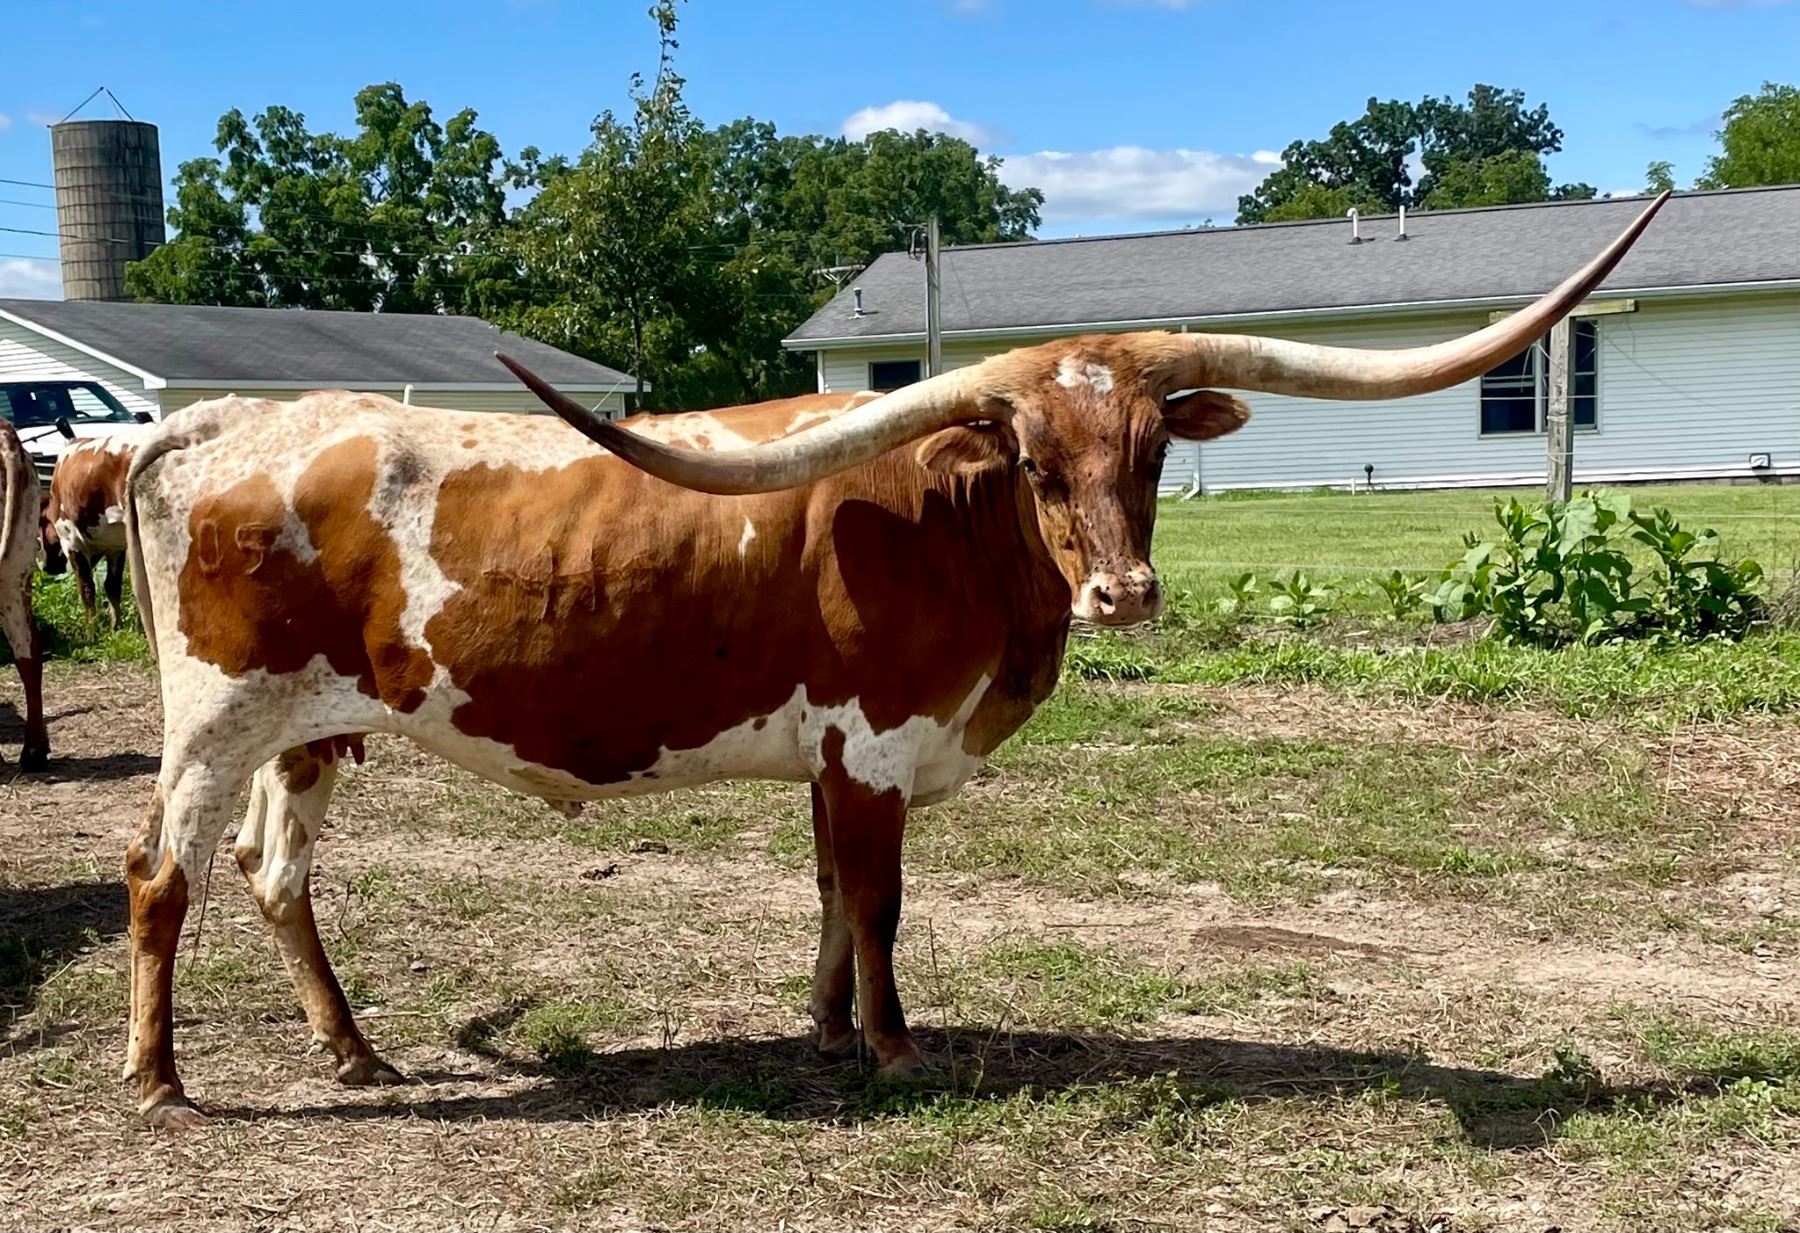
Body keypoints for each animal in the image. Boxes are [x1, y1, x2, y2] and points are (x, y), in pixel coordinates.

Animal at [43, 436, 135, 631]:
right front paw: (116, 627)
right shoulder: (115, 547)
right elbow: (112, 585)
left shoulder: (71, 543)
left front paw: (91, 631)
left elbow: (86, 589)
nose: (47, 567)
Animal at [119, 194, 1667, 1127]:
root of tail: (197, 424)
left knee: (273, 872)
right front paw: (898, 1046)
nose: (1125, 593)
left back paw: (353, 1050)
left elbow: (826, 893)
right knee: (160, 876)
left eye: (1151, 450)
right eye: (1034, 460)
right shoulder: (872, 742)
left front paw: (822, 1030)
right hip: (213, 719)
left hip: (309, 727)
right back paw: (158, 1077)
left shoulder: (828, 752)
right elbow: (879, 900)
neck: (948, 523)